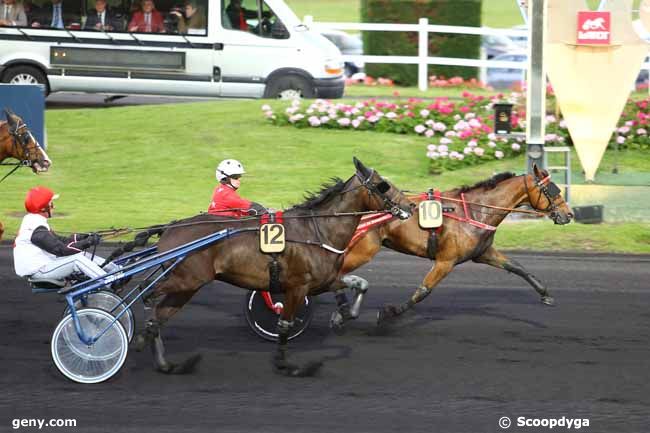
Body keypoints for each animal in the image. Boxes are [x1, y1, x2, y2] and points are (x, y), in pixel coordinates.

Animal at [134, 157, 412, 376]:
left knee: (158, 317)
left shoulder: (323, 280)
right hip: (186, 279)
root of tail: (169, 228)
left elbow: (360, 285)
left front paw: (341, 315)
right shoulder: (297, 287)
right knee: (147, 292)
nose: (409, 206)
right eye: (383, 185)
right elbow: (284, 325)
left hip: (187, 287)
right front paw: (286, 364)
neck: (316, 230)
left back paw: (164, 363)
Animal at [330, 164, 572, 330]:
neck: (473, 211)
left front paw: (545, 294)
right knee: (337, 274)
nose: (569, 214)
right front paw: (391, 312)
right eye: (551, 190)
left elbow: (517, 267)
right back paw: (342, 311)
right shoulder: (446, 261)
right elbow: (423, 291)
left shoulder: (483, 253)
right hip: (363, 250)